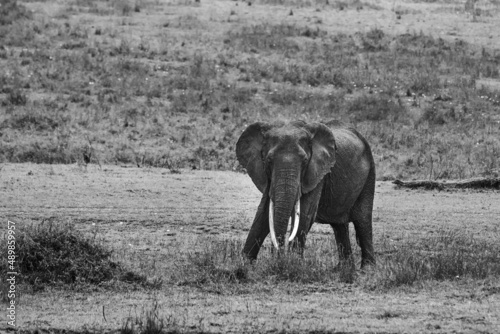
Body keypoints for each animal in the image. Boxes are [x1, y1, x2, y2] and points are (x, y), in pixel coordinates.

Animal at [237, 120, 376, 268]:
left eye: (304, 161)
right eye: (268, 160)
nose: (278, 257)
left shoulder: (317, 173)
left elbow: (305, 213)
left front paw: (293, 264)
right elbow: (263, 214)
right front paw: (244, 264)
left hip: (370, 173)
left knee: (363, 221)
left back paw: (367, 269)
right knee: (339, 225)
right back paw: (343, 269)